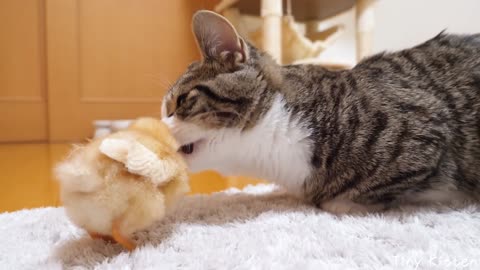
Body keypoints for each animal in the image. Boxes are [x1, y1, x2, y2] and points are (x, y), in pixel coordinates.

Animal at [162, 10, 480, 214]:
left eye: (182, 101)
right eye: (165, 108)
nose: (160, 125)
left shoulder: (426, 133)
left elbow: (346, 198)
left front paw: (343, 202)